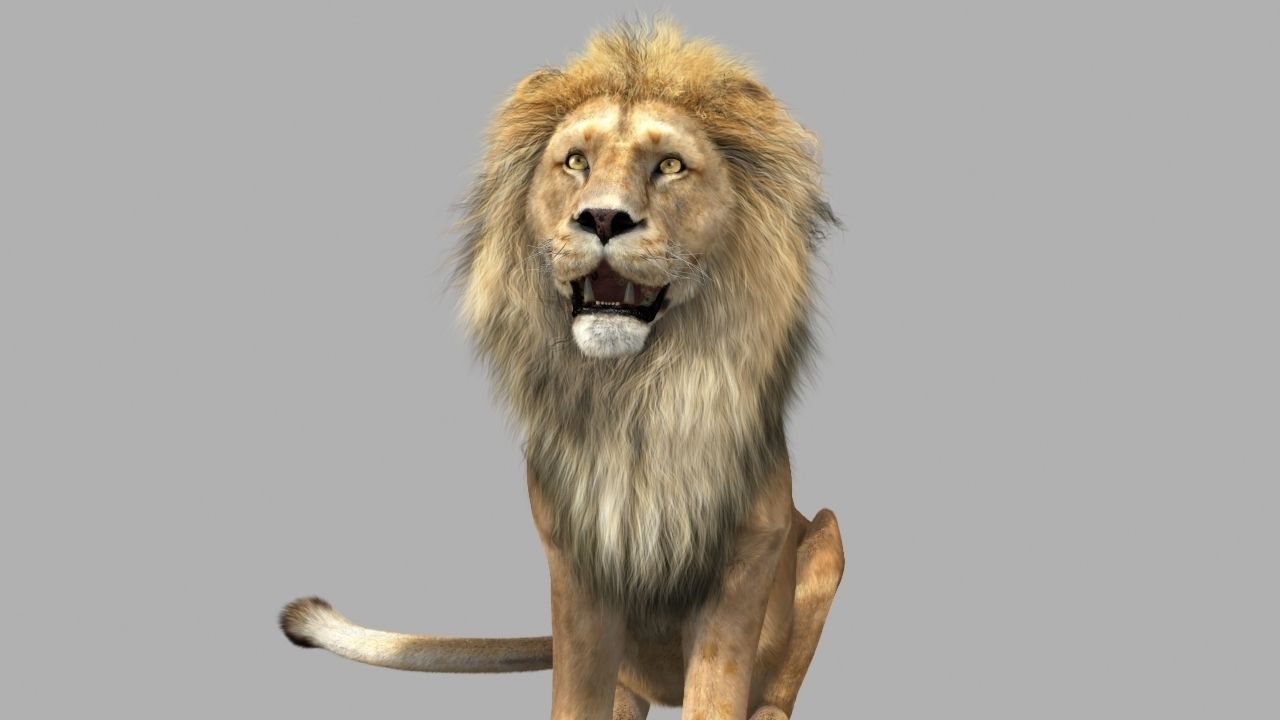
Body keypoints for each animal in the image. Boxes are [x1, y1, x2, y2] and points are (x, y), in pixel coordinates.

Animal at [280, 20, 845, 720]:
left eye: (670, 165)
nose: (602, 217)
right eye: (576, 161)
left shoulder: (748, 558)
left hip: (828, 534)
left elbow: (716, 692)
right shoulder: (576, 563)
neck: (633, 400)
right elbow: (576, 691)